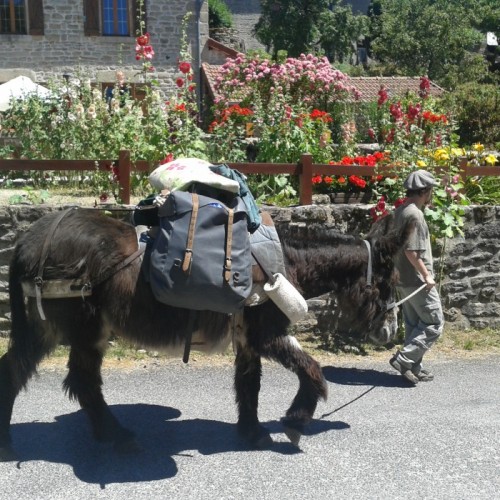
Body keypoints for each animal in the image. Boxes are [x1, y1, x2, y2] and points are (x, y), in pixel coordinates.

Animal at [0, 207, 413, 461]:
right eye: (388, 280)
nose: (389, 333)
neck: (285, 262)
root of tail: (28, 239)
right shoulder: (266, 334)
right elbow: (313, 370)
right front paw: (295, 423)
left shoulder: (247, 339)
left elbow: (249, 386)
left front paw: (252, 433)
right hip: (80, 326)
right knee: (78, 380)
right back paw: (115, 436)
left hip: (53, 327)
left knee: (24, 373)